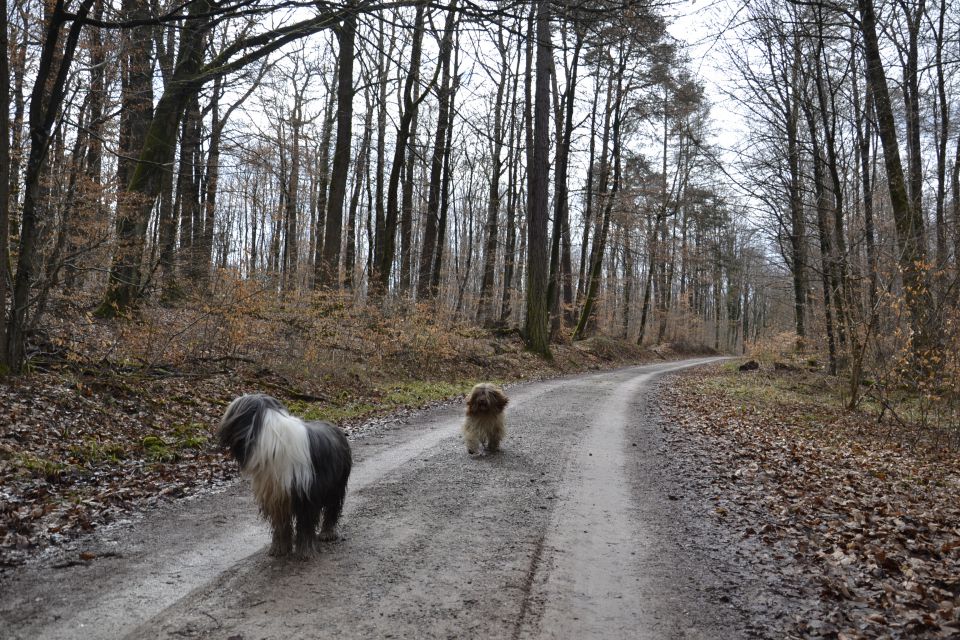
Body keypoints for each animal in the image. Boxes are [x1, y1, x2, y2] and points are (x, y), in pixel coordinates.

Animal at [218, 390, 352, 556]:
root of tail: (335, 427)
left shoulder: (305, 494)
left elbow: (305, 524)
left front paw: (305, 551)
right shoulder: (276, 495)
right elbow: (281, 524)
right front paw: (280, 548)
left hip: (336, 485)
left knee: (332, 508)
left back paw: (327, 533)